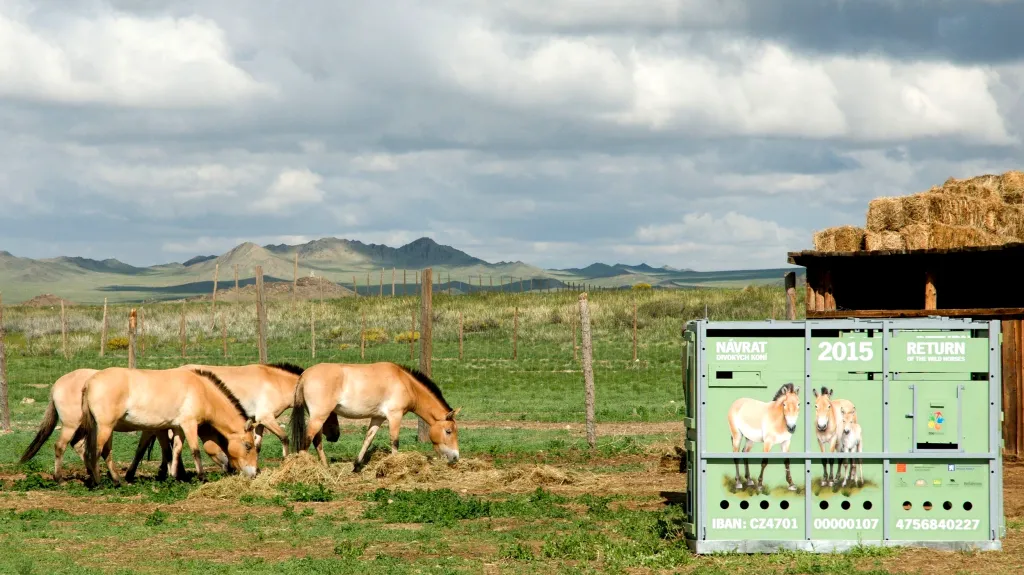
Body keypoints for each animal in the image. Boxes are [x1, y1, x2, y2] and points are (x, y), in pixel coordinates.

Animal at [17, 366, 226, 478]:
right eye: (225, 444)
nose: (229, 468)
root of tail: (57, 385)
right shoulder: (161, 427)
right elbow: (162, 449)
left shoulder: (160, 427)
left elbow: (166, 449)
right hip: (73, 425)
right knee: (63, 446)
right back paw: (63, 478)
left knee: (80, 446)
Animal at [81, 366, 258, 482]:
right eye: (248, 445)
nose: (254, 473)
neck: (202, 391)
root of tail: (89, 383)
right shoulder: (189, 425)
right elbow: (195, 451)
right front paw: (201, 477)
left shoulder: (177, 427)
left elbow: (175, 450)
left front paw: (174, 476)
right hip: (105, 427)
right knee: (97, 451)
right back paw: (99, 482)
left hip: (100, 428)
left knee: (101, 452)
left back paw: (117, 480)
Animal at [290, 360, 462, 468]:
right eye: (448, 431)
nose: (455, 457)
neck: (405, 382)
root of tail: (305, 375)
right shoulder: (395, 416)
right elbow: (394, 441)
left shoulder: (377, 418)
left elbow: (368, 439)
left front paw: (356, 465)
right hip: (319, 417)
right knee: (307, 440)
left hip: (318, 417)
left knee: (317, 441)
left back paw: (325, 468)